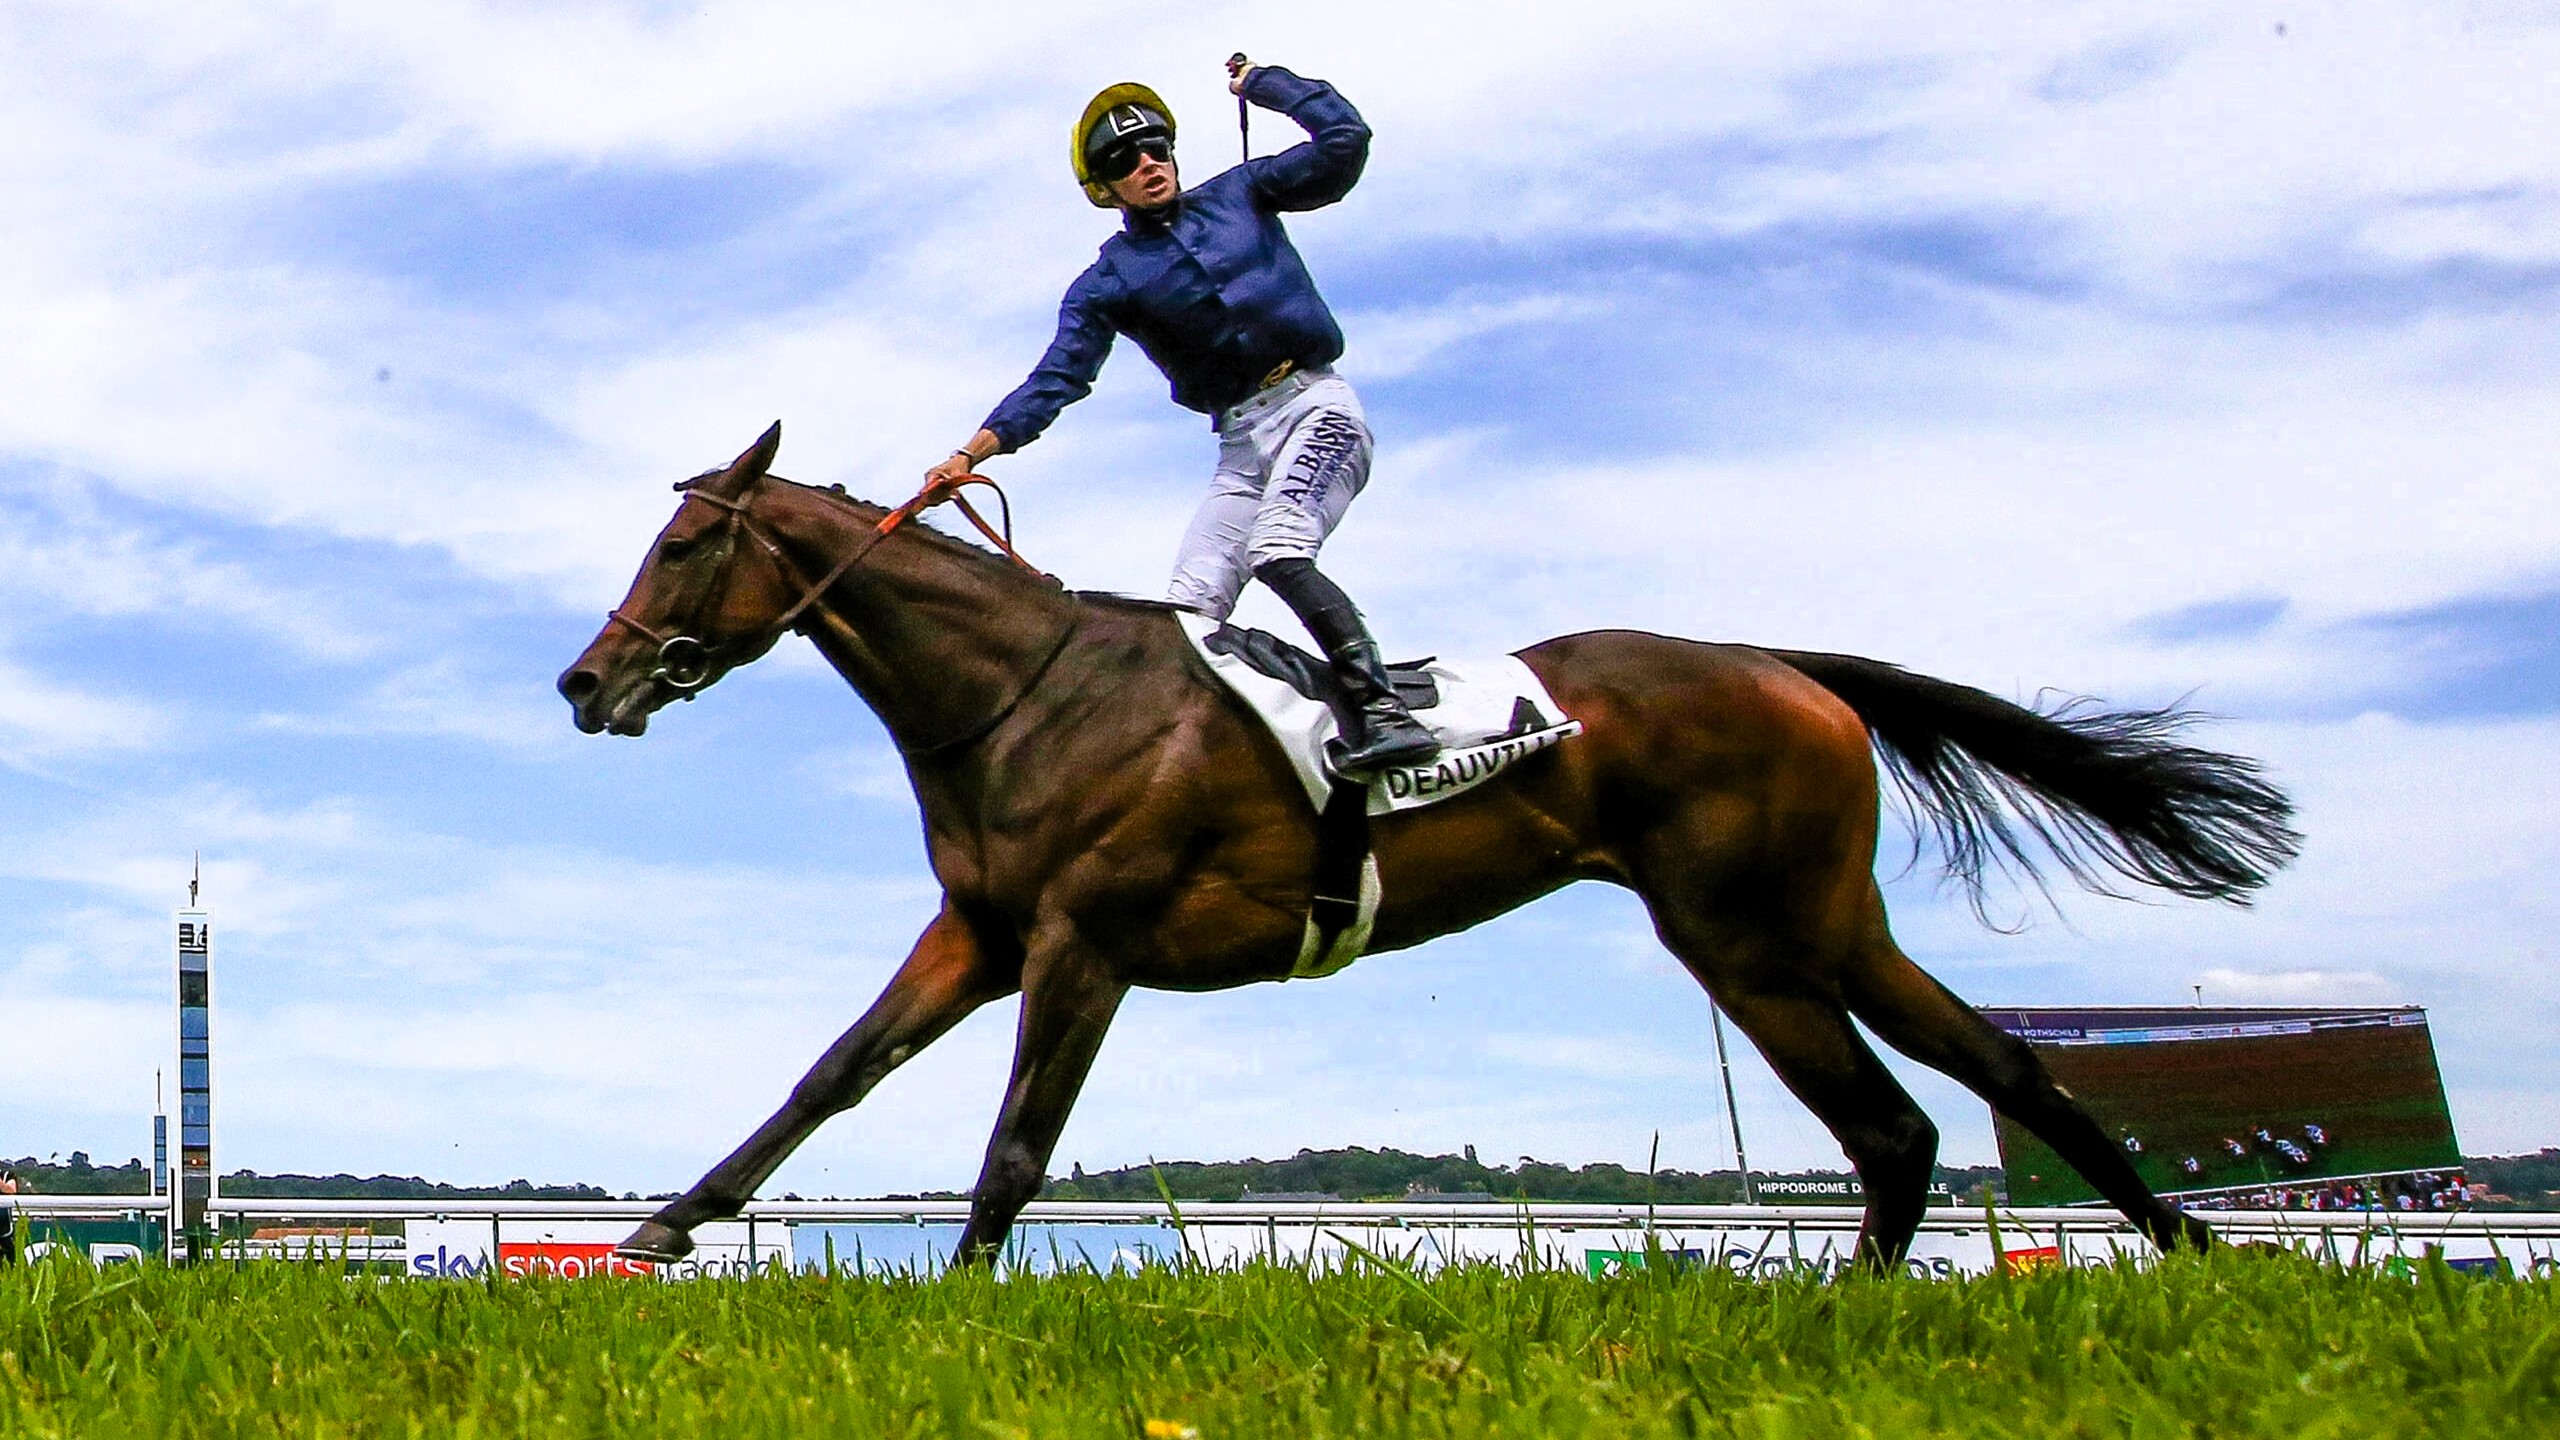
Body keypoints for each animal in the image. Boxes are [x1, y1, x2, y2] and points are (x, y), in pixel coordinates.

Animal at [560, 422, 2304, 1265]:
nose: (585, 681)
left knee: (1896, 1127)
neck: (1025, 693)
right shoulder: (984, 934)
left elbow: (1016, 1144)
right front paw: (660, 1229)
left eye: (683, 542)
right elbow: (830, 1075)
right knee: (1984, 1082)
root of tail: (1783, 667)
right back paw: (2201, 1256)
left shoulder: (1084, 943)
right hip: (1821, 924)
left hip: (1745, 933)